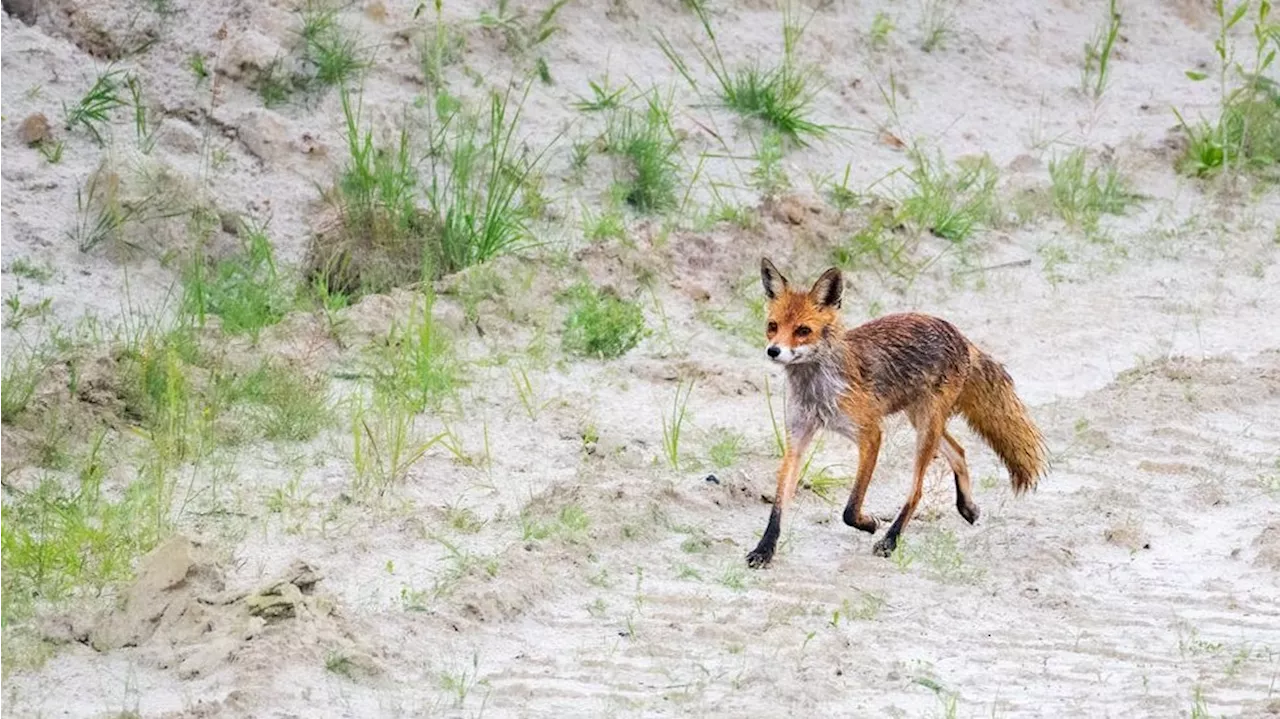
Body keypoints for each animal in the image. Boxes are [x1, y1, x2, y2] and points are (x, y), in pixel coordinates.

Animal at [747, 257, 1044, 565]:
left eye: (803, 331)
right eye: (772, 326)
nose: (773, 351)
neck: (818, 391)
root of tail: (958, 334)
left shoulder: (870, 433)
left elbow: (850, 509)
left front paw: (869, 524)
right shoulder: (797, 436)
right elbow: (778, 504)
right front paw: (764, 549)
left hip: (926, 427)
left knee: (918, 489)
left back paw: (891, 540)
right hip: (921, 419)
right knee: (959, 451)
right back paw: (967, 507)